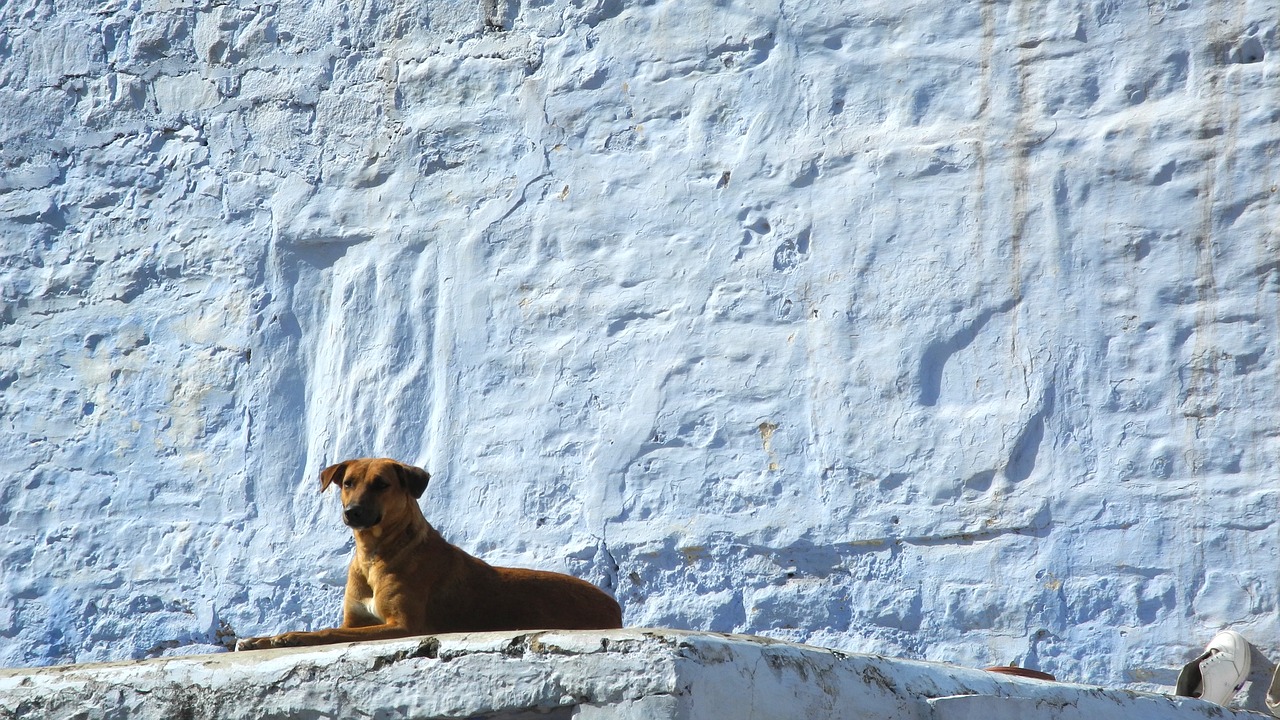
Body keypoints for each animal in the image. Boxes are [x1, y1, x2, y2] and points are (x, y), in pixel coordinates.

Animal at [239, 456, 624, 648]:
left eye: (381, 484)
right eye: (347, 483)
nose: (352, 513)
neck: (375, 554)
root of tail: (615, 606)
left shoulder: (402, 625)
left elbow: (325, 632)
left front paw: (286, 637)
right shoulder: (355, 619)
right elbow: (334, 627)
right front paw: (261, 639)